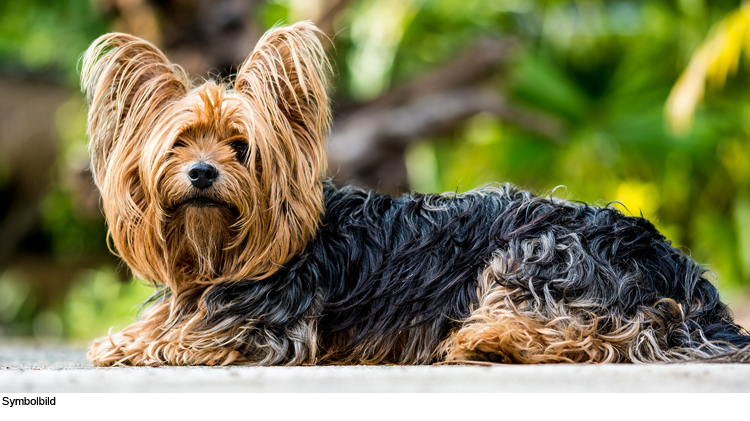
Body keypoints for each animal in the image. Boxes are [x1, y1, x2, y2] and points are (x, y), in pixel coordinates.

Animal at [81, 22, 750, 364]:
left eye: (242, 148)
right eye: (179, 144)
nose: (201, 173)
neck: (218, 254)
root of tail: (684, 276)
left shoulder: (268, 329)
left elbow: (184, 341)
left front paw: (140, 345)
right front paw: (129, 337)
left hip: (542, 252)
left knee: (602, 336)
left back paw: (489, 341)